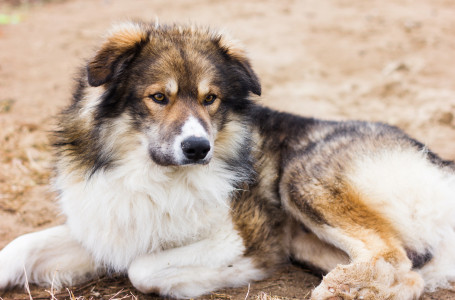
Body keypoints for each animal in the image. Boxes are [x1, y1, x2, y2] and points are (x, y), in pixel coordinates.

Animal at [0, 21, 455, 300]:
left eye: (210, 99)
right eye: (158, 97)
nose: (198, 148)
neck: (150, 176)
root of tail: (441, 165)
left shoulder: (240, 234)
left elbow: (142, 270)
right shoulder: (107, 227)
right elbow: (21, 247)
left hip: (301, 176)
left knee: (392, 255)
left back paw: (338, 288)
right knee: (410, 275)